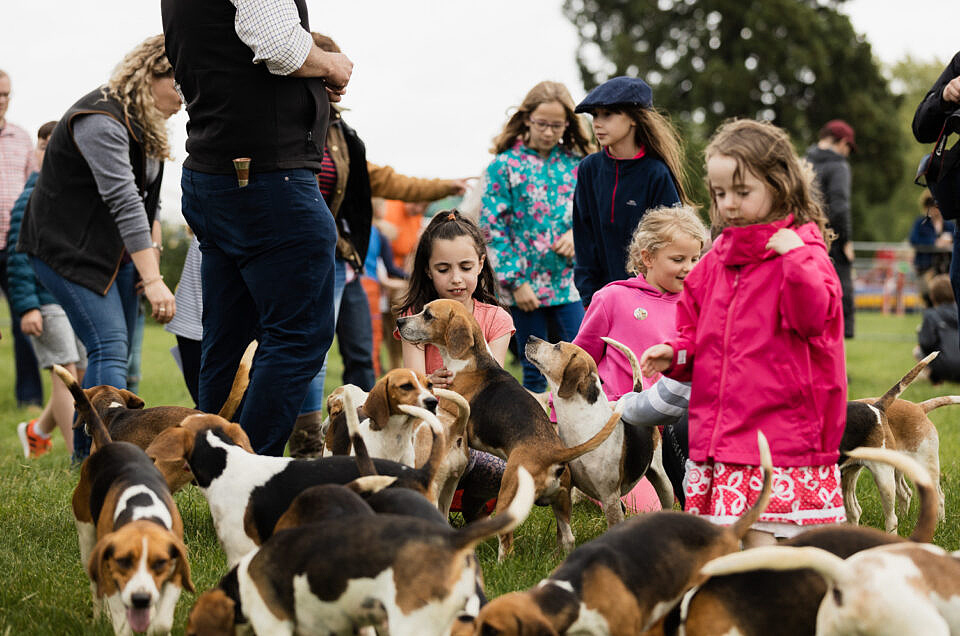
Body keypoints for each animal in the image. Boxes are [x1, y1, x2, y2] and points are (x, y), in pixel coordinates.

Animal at [394, 298, 620, 556]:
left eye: (428, 315)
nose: (399, 321)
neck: (469, 361)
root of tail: (554, 452)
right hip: (562, 501)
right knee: (568, 537)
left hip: (508, 496)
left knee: (507, 542)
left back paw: (502, 560)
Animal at [524, 332, 676, 528]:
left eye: (557, 346)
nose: (530, 337)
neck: (582, 424)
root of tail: (637, 393)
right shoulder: (566, 488)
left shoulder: (609, 498)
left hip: (664, 483)